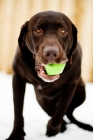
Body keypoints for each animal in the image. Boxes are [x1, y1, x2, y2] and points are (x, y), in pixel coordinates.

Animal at [6, 11, 92, 140]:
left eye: (63, 30)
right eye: (38, 30)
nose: (51, 53)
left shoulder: (70, 84)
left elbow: (60, 110)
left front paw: (52, 132)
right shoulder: (18, 79)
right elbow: (18, 110)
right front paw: (16, 135)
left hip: (81, 94)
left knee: (68, 113)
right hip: (41, 99)